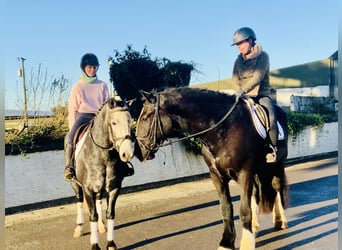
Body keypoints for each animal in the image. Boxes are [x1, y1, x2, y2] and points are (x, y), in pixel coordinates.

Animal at [67, 98, 134, 250]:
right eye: (114, 123)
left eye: (130, 121)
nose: (127, 154)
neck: (102, 154)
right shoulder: (87, 188)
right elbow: (93, 215)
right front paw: (95, 245)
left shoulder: (114, 187)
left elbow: (110, 213)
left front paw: (111, 244)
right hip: (75, 185)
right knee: (79, 200)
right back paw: (79, 228)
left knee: (98, 201)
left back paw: (101, 226)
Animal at [134, 88, 288, 250]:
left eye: (145, 118)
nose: (138, 152)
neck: (223, 130)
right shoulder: (217, 176)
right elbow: (226, 208)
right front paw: (226, 242)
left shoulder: (244, 173)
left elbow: (244, 210)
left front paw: (246, 244)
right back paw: (254, 226)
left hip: (277, 165)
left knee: (277, 188)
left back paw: (280, 221)